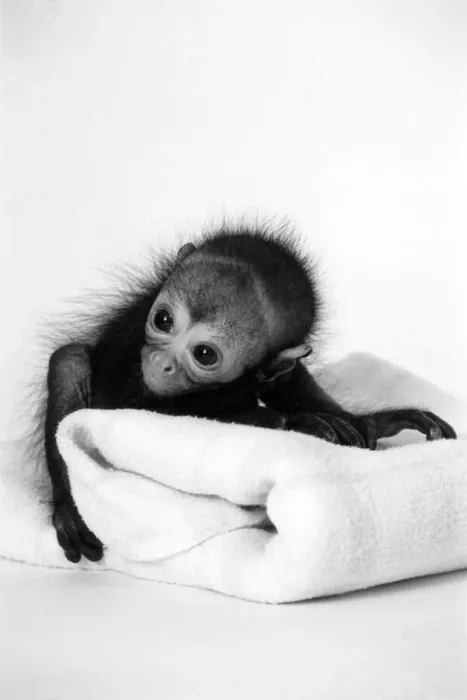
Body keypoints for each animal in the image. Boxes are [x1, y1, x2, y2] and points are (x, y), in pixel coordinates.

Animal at [44, 223, 456, 564]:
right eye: (163, 320)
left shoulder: (273, 364)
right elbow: (128, 406)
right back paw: (68, 509)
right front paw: (299, 422)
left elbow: (284, 376)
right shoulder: (133, 340)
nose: (160, 362)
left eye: (204, 354)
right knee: (69, 360)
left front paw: (370, 422)